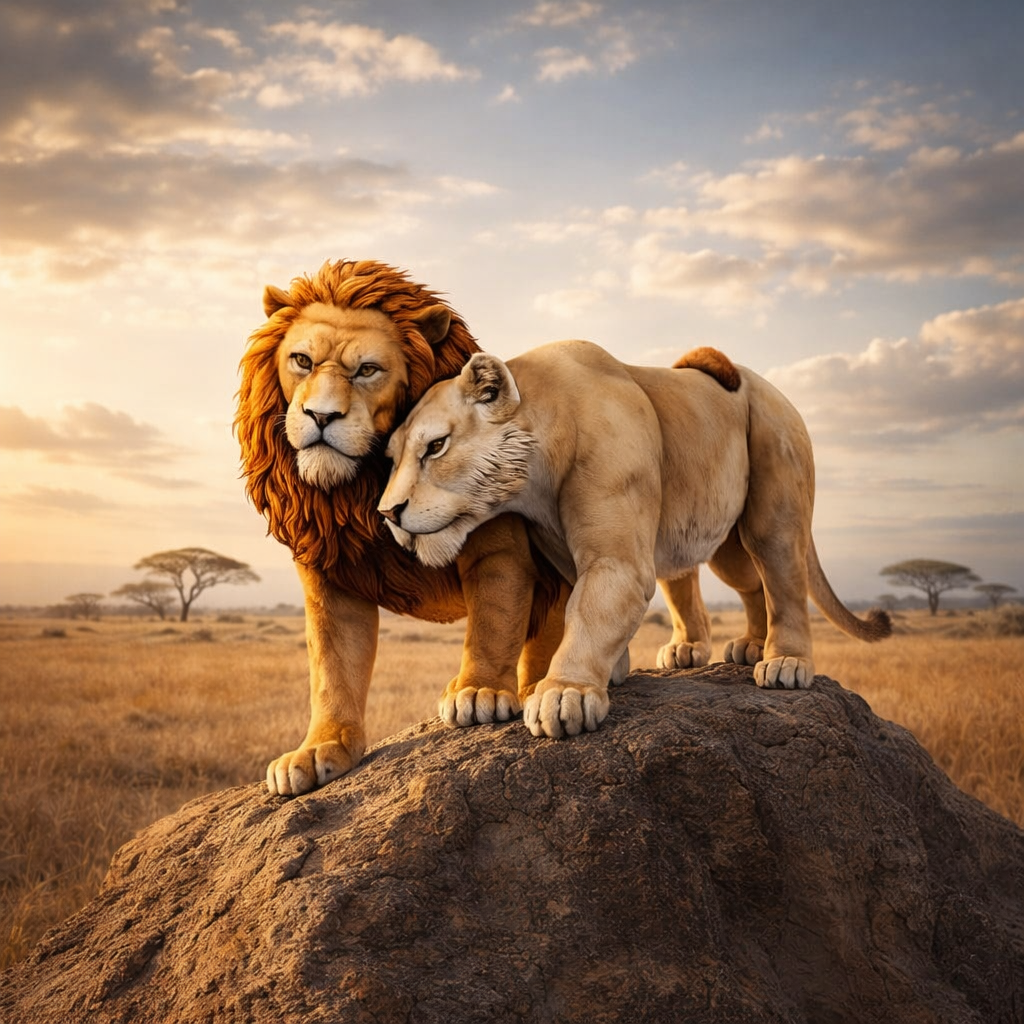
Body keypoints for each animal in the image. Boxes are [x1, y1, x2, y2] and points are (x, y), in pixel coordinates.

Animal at [235, 259, 568, 795]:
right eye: (302, 361)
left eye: (367, 370)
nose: (321, 415)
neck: (360, 486)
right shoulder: (331, 573)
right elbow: (332, 667)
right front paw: (321, 750)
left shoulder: (497, 545)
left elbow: (494, 617)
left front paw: (478, 691)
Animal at [378, 339, 892, 740]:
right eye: (393, 457)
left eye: (436, 446)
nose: (388, 513)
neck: (533, 478)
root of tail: (777, 391)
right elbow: (572, 607)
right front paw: (609, 672)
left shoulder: (617, 558)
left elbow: (590, 611)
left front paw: (565, 693)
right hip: (720, 539)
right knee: (737, 582)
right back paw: (721, 647)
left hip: (773, 498)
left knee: (781, 573)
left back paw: (784, 662)